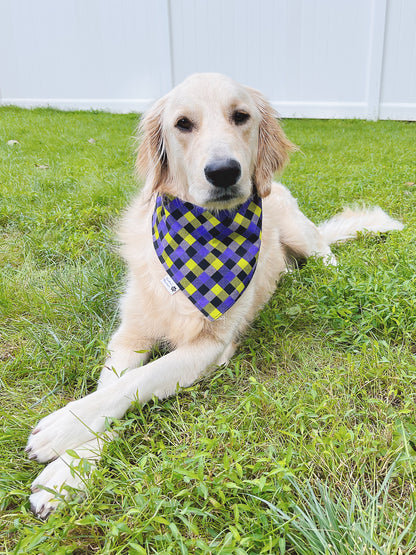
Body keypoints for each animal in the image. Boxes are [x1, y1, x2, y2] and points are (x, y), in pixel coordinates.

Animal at [26, 71, 404, 520]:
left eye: (241, 116)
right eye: (182, 124)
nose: (223, 172)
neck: (201, 236)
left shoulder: (213, 346)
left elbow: (136, 380)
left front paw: (61, 431)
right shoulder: (129, 334)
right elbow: (109, 387)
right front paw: (69, 466)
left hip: (300, 233)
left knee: (326, 252)